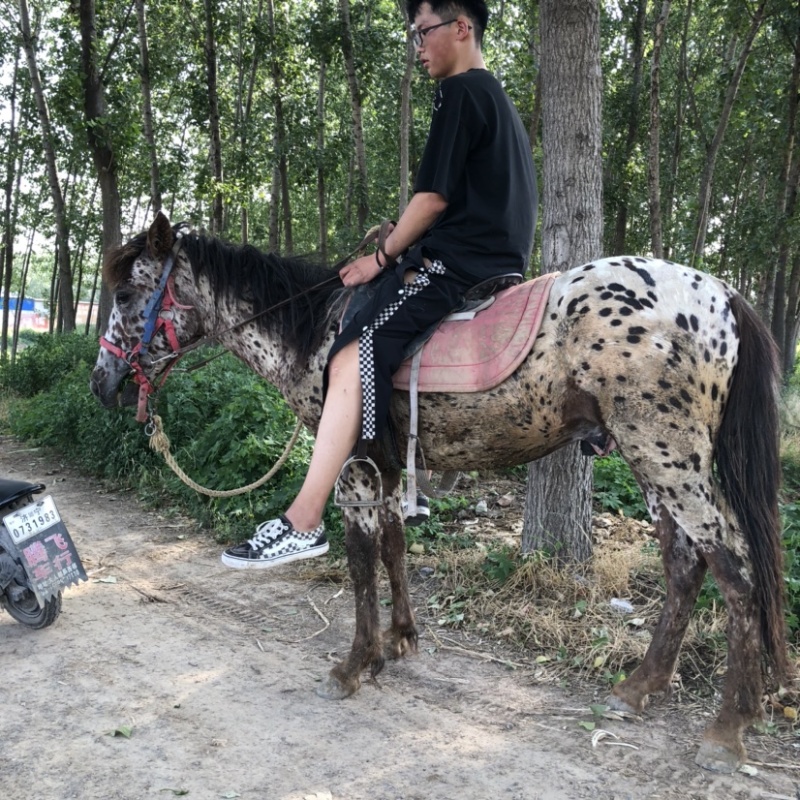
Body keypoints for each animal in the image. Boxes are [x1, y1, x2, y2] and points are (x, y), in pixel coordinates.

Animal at [90, 211, 789, 773]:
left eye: (125, 292)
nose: (102, 383)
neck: (318, 331)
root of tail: (722, 293)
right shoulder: (390, 465)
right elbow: (396, 546)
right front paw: (400, 640)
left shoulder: (355, 464)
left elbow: (361, 558)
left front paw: (355, 665)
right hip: (652, 463)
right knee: (685, 565)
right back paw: (639, 687)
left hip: (666, 453)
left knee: (734, 568)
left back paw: (728, 727)